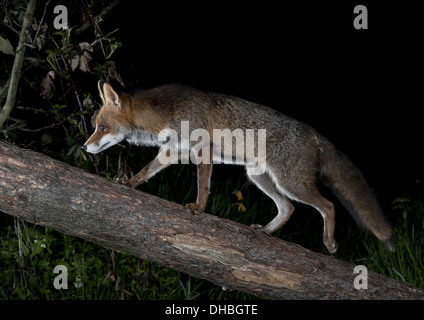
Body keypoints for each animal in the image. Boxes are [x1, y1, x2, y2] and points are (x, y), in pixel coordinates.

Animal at [82, 81, 394, 254]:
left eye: (102, 127)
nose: (85, 148)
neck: (166, 113)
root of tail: (315, 133)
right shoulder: (173, 150)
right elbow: (146, 171)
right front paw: (129, 183)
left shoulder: (202, 149)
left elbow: (203, 186)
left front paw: (198, 209)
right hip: (260, 178)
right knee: (289, 208)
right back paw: (266, 231)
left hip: (291, 183)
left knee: (328, 206)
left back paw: (329, 242)